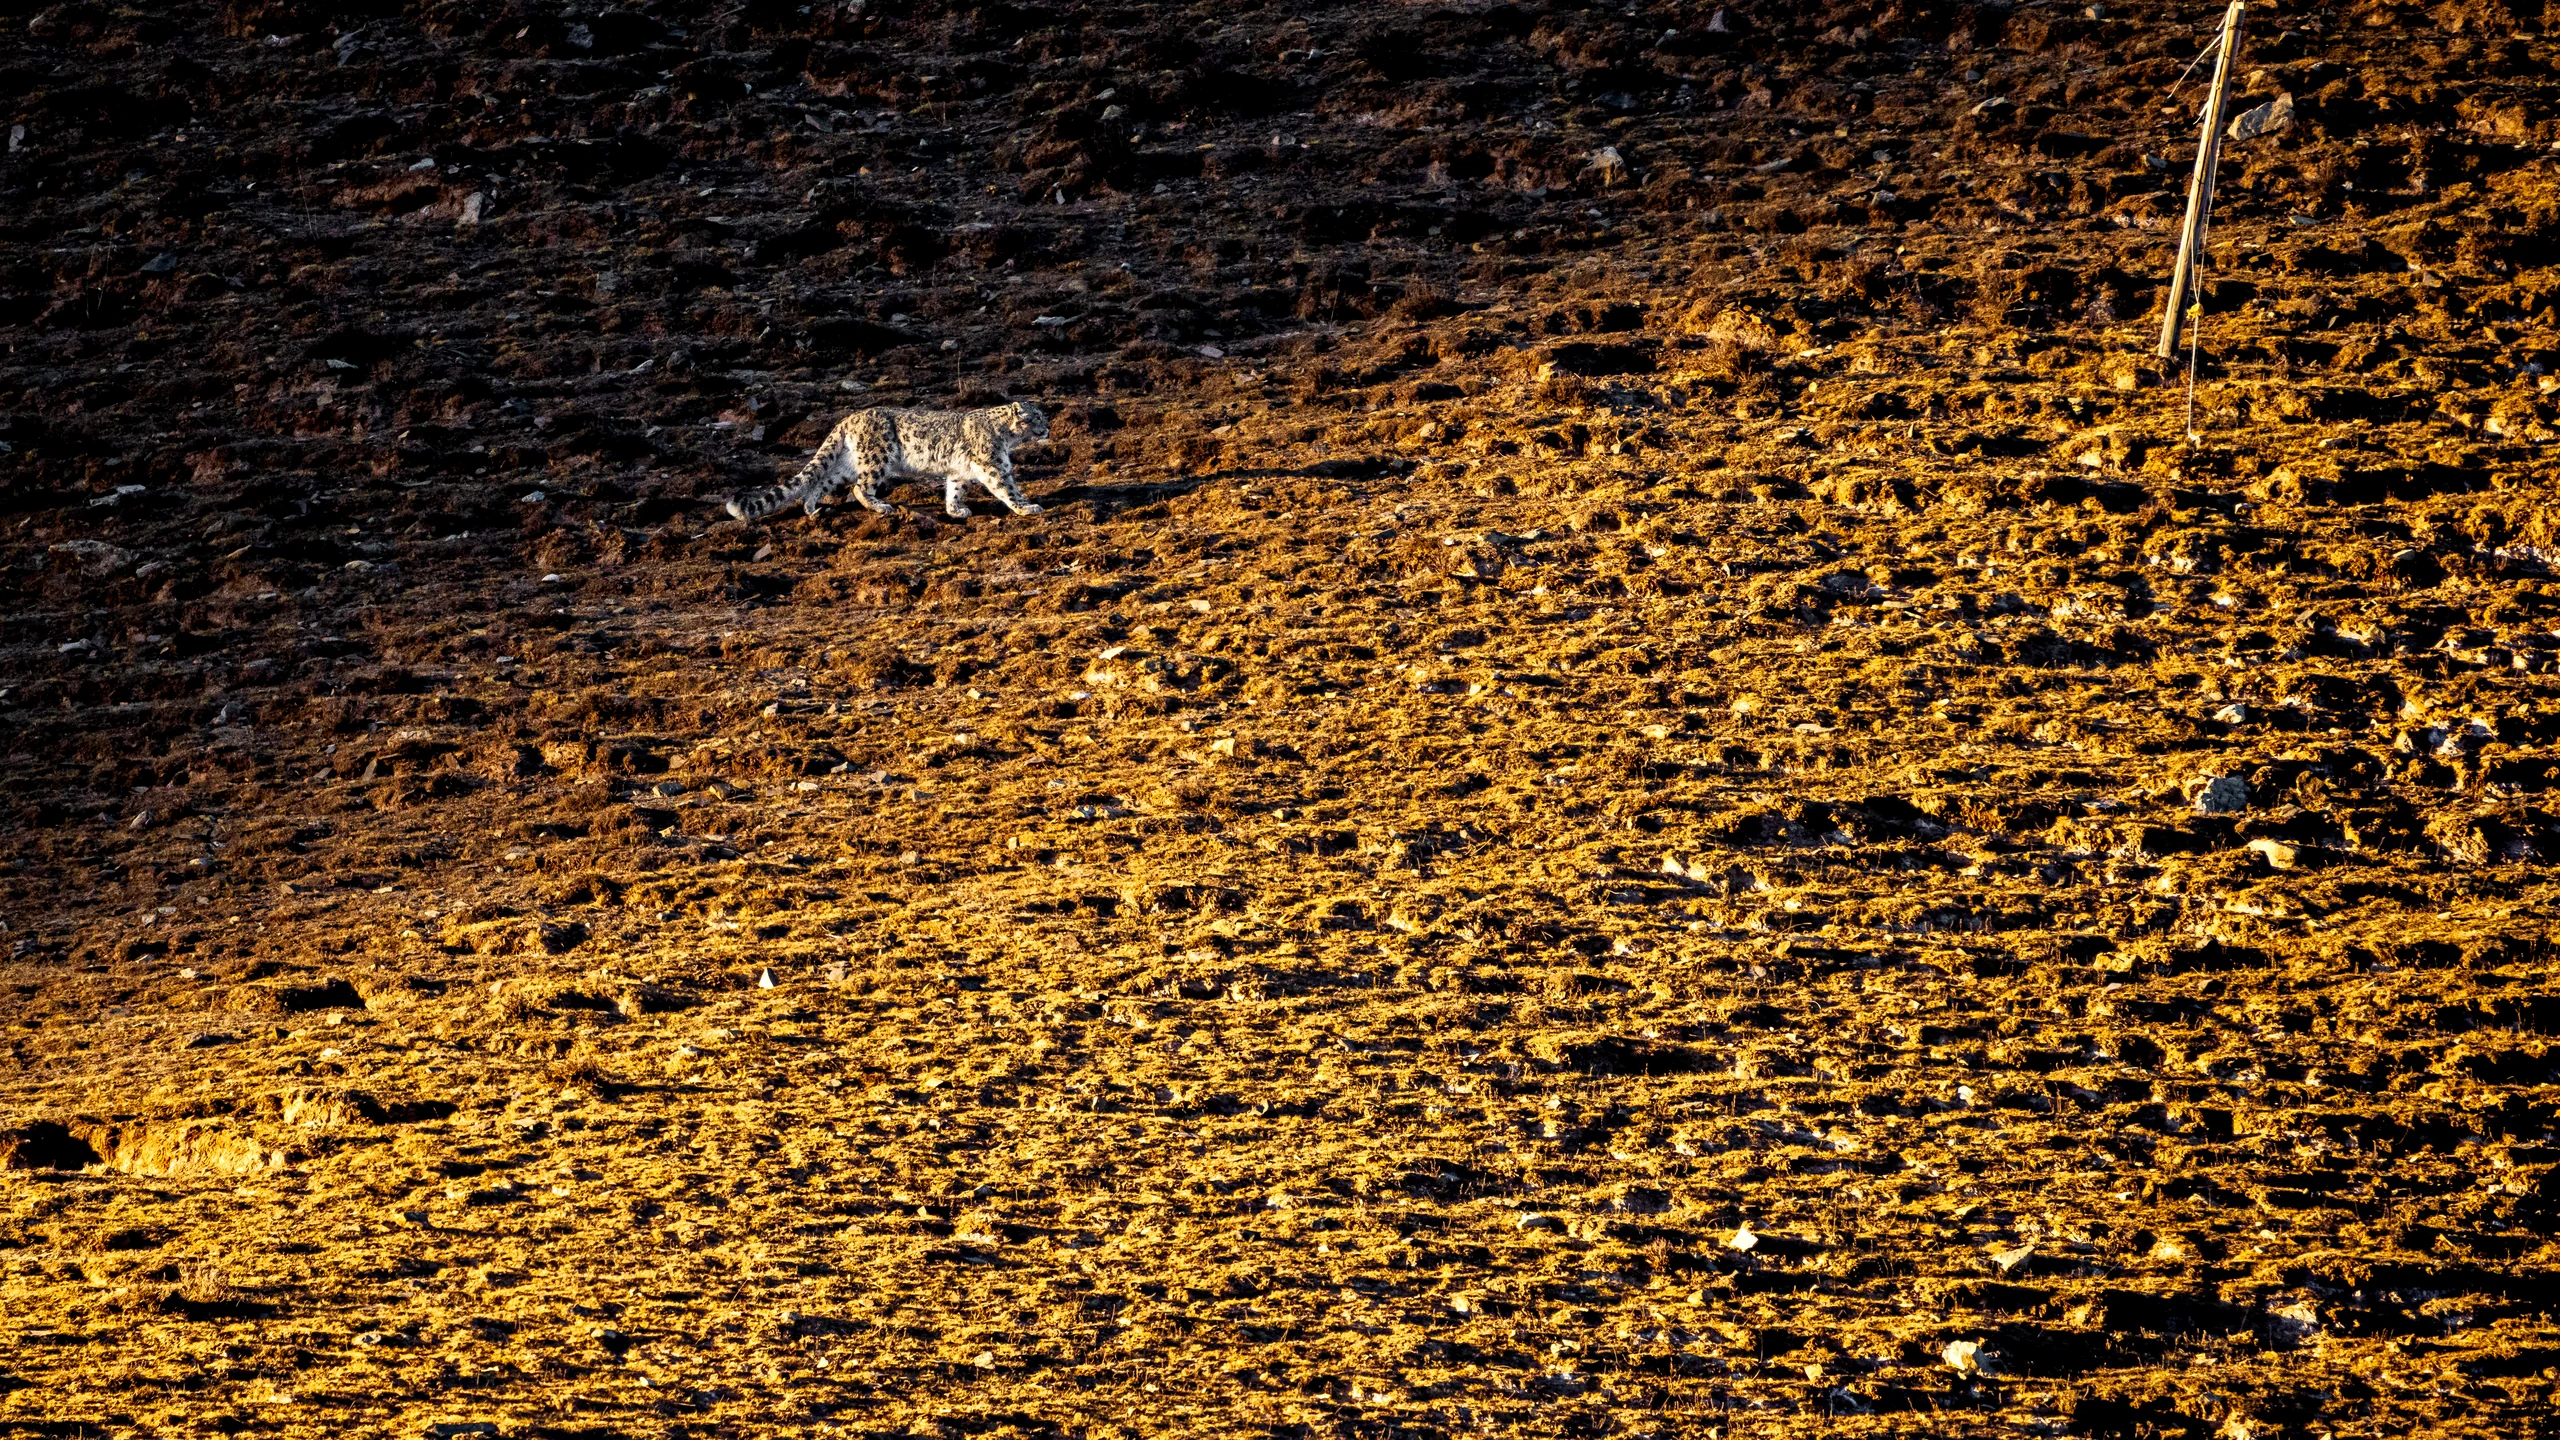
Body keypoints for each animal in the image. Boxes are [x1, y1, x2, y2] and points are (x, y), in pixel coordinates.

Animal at [725, 400, 1049, 522]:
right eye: (1037, 417)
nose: (1048, 427)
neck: (1008, 437)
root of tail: (848, 419)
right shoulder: (995, 466)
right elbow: (1009, 488)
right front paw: (1028, 507)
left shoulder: (958, 471)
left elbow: (954, 490)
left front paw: (955, 510)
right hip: (877, 458)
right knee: (860, 487)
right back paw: (880, 507)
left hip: (846, 464)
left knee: (820, 482)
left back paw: (812, 509)